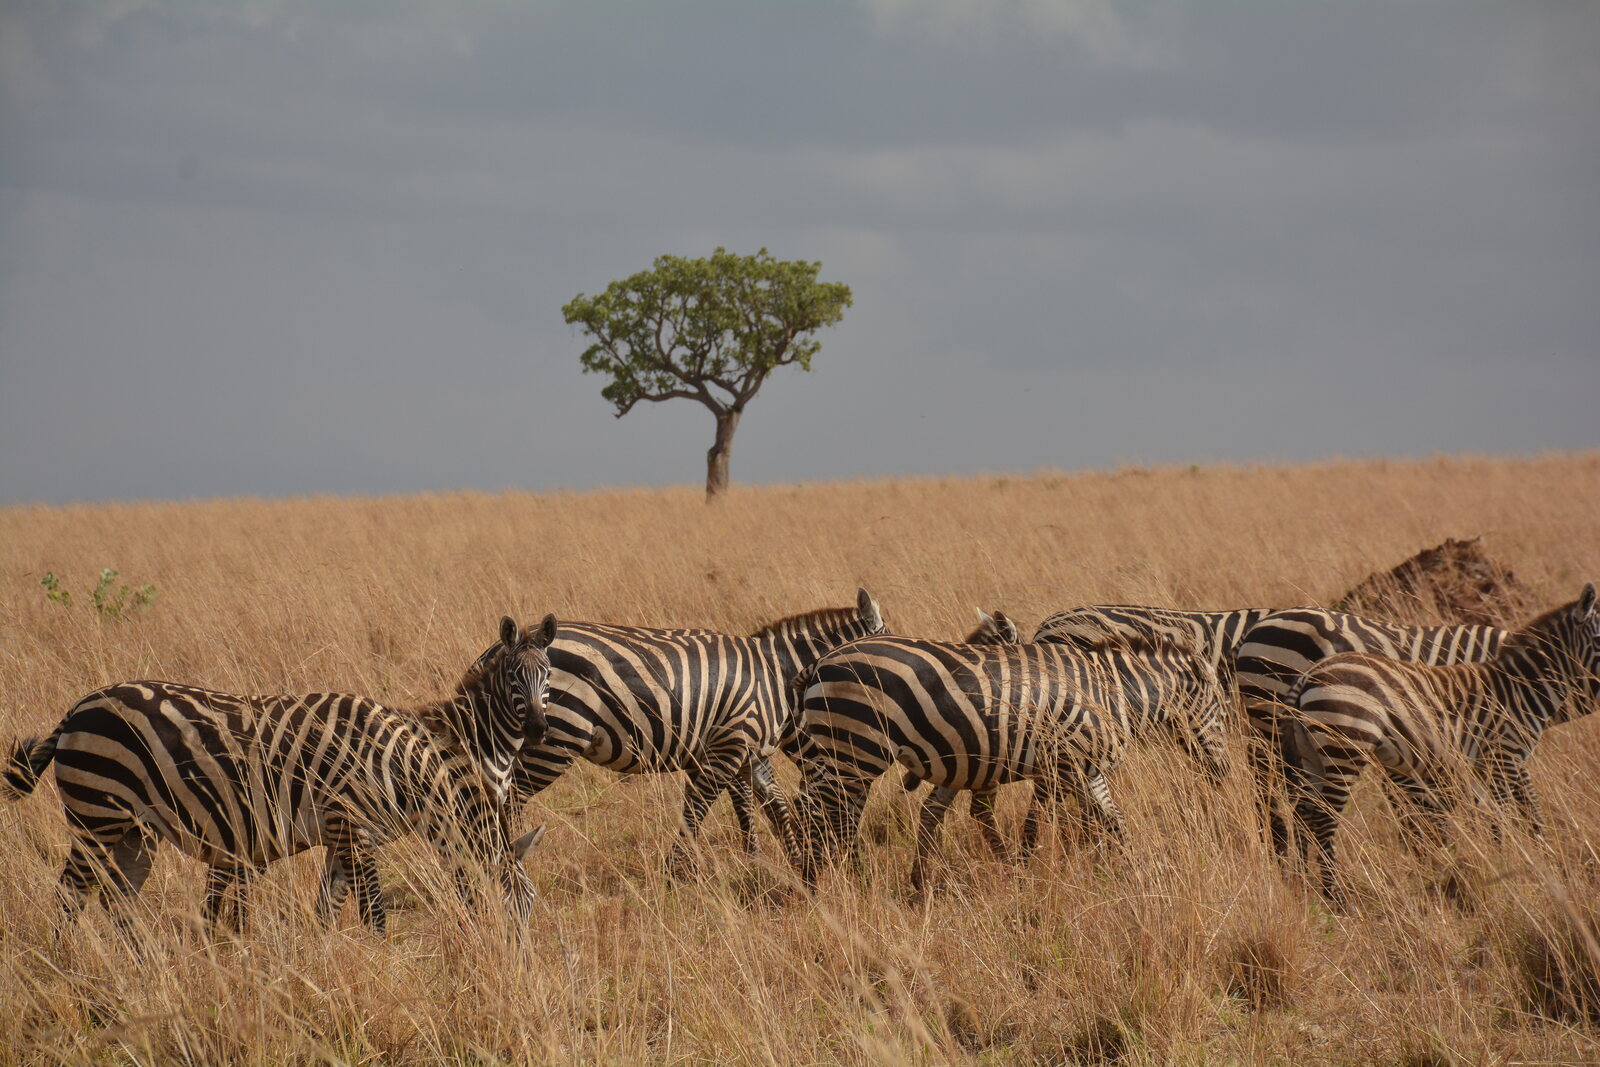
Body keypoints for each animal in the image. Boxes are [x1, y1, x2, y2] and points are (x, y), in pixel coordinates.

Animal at [1, 615, 556, 937]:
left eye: (548, 677)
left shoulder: (343, 831)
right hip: (96, 814)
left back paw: (139, 971)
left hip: (135, 829)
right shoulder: (350, 824)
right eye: (514, 911)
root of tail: (77, 708)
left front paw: (334, 965)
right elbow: (373, 912)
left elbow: (328, 906)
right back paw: (72, 966)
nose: (518, 970)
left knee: (117, 899)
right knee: (70, 896)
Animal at [510, 589, 885, 874]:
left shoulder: (747, 752)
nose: (853, 867)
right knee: (510, 798)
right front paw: (674, 874)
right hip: (556, 739)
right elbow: (699, 811)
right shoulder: (729, 747)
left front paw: (776, 864)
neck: (777, 674)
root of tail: (505, 648)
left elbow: (768, 805)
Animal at [789, 632, 1232, 891]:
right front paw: (1025, 872)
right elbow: (1039, 825)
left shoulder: (1086, 768)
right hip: (856, 749)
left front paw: (1133, 874)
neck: (1113, 696)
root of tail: (820, 661)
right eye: (1220, 710)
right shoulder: (1063, 765)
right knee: (823, 814)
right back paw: (824, 884)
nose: (1226, 775)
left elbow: (1114, 822)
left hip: (842, 753)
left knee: (827, 813)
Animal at [1282, 583, 1600, 902]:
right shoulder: (1502, 755)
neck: (1518, 690)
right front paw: (1513, 863)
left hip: (1312, 755)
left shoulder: (1493, 763)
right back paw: (1335, 895)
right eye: (1599, 640)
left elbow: (1516, 812)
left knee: (1303, 814)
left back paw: (1302, 887)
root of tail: (1309, 675)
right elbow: (1510, 813)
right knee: (1324, 819)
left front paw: (1527, 857)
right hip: (1346, 747)